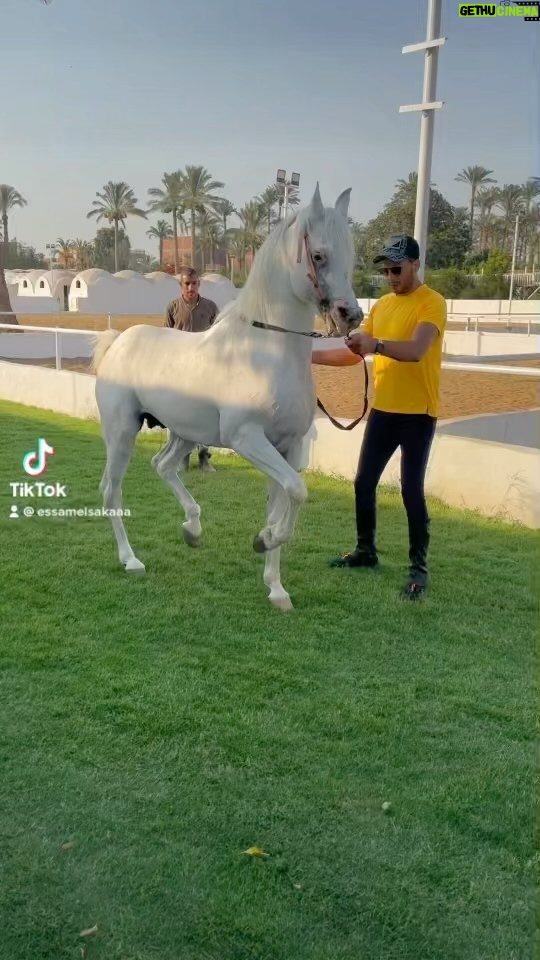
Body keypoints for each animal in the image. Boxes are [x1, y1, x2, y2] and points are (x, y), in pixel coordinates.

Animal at [92, 183, 361, 610]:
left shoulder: (287, 448)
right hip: (121, 435)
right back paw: (130, 559)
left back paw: (192, 529)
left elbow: (285, 500)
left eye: (351, 255)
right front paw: (263, 541)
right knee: (111, 491)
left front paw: (276, 588)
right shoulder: (248, 440)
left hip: (184, 433)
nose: (350, 316)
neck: (265, 352)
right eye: (318, 255)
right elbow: (296, 494)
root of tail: (118, 342)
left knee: (163, 466)